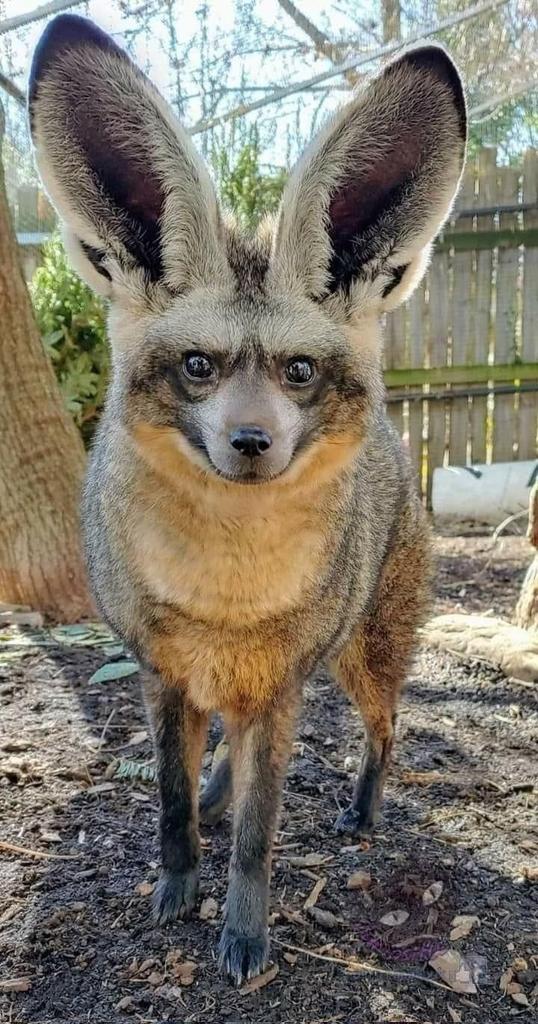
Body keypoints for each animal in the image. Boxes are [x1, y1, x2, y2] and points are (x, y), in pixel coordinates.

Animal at [28, 14, 466, 985]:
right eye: (200, 365)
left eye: (298, 372)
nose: (253, 445)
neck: (225, 596)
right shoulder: (162, 677)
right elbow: (169, 806)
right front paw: (176, 889)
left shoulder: (279, 689)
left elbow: (260, 840)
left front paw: (244, 935)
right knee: (230, 753)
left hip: (361, 662)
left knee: (388, 730)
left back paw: (363, 809)